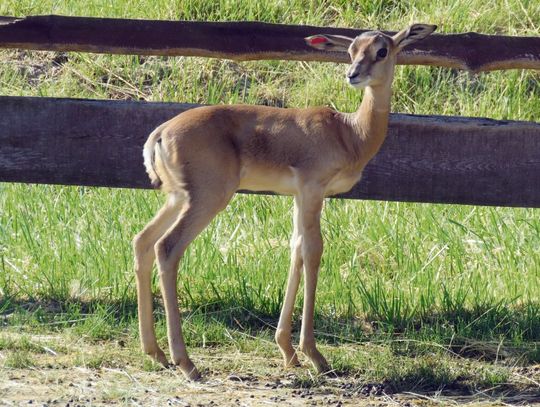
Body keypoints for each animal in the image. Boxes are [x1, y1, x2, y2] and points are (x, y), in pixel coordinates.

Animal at [133, 23, 436, 380]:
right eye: (351, 51)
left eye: (381, 50)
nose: (353, 74)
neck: (350, 133)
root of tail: (161, 132)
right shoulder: (313, 190)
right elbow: (313, 252)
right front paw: (315, 355)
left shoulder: (298, 197)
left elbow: (296, 250)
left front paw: (288, 351)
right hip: (207, 199)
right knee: (167, 248)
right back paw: (186, 362)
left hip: (178, 198)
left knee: (142, 241)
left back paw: (155, 352)